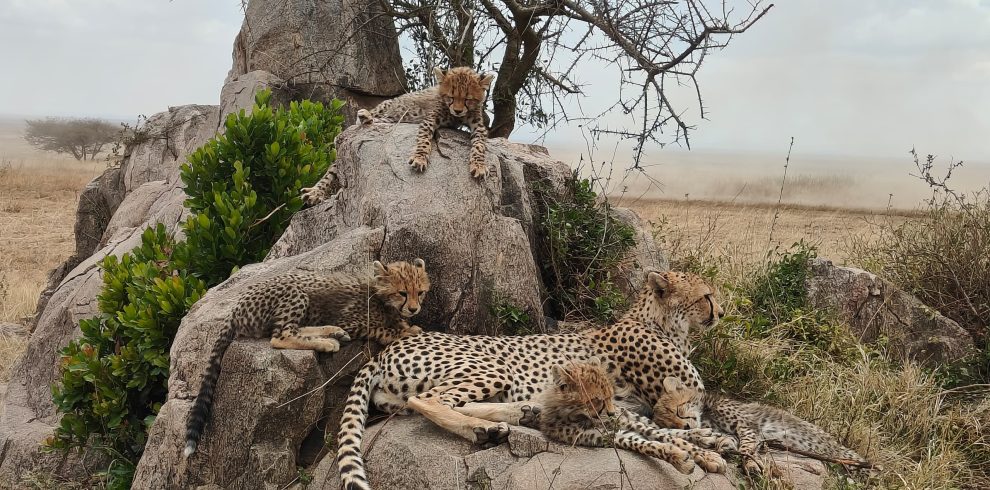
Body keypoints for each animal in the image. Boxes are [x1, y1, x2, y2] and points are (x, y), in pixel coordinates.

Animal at [183, 259, 430, 457]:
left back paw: (331, 333)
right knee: (280, 336)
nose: (414, 309)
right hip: (295, 292)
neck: (379, 296)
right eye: (402, 293)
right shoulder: (352, 321)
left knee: (294, 329)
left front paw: (407, 325)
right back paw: (326, 341)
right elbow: (381, 329)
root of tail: (236, 309)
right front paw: (403, 331)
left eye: (420, 292)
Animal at [455, 357, 731, 474]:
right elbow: (646, 443)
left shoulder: (622, 421)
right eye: (596, 400)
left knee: (669, 430)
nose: (610, 411)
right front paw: (678, 457)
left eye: (609, 396)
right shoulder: (604, 436)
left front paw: (705, 454)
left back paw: (711, 438)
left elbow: (668, 436)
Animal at [651, 377, 871, 474]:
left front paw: (750, 464)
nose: (686, 428)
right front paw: (724, 445)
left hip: (846, 456)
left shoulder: (747, 427)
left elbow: (747, 447)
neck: (706, 411)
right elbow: (729, 440)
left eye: (677, 411)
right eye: (668, 423)